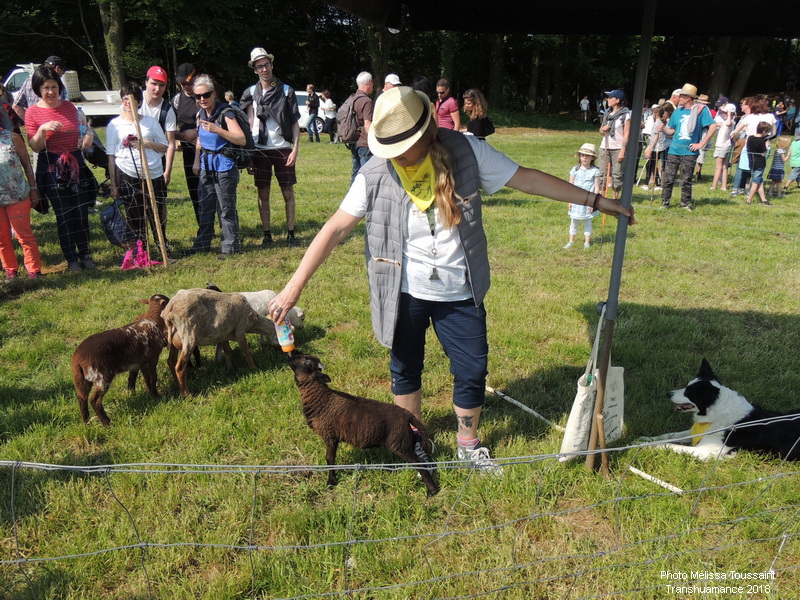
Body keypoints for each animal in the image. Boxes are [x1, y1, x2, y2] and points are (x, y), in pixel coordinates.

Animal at [71, 294, 170, 426]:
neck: (152, 322)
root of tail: (77, 360)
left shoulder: (139, 362)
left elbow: (140, 378)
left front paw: (141, 394)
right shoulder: (153, 358)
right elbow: (153, 377)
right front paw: (156, 395)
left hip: (80, 379)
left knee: (82, 398)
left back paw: (86, 422)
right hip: (102, 376)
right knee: (94, 400)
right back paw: (107, 423)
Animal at [288, 351, 439, 497]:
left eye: (307, 362)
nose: (291, 354)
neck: (321, 398)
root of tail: (407, 415)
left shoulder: (329, 435)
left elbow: (329, 459)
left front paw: (331, 482)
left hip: (400, 443)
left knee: (419, 462)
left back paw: (432, 490)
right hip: (406, 440)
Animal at [641, 359, 800, 461]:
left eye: (688, 392)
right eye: (686, 386)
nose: (668, 394)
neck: (717, 414)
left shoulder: (705, 451)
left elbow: (670, 445)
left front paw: (645, 446)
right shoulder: (697, 433)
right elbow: (671, 435)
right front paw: (646, 439)